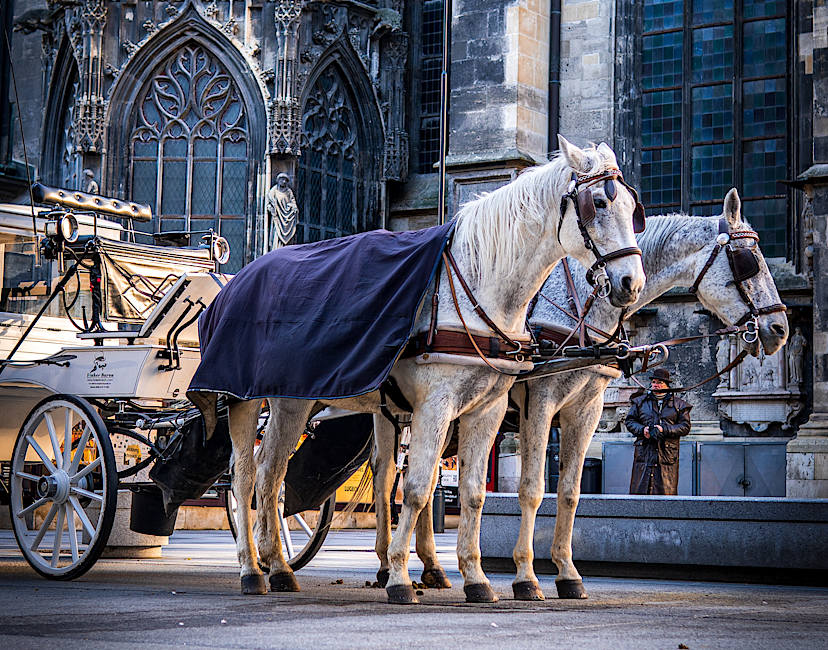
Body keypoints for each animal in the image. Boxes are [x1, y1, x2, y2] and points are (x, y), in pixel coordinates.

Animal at [227, 136, 646, 604]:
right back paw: (253, 568)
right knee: (249, 477)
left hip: (298, 403)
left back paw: (277, 564)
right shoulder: (467, 404)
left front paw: (478, 577)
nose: (631, 283)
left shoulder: (497, 409)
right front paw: (401, 576)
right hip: (250, 399)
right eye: (599, 202)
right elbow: (421, 489)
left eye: (634, 208)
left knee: (273, 474)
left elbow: (481, 493)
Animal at [371, 188, 789, 600]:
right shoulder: (539, 405)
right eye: (749, 261)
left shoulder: (586, 409)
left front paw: (567, 573)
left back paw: (431, 567)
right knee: (388, 474)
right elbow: (532, 489)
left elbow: (570, 491)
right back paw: (389, 566)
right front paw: (526, 576)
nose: (780, 328)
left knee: (420, 477)